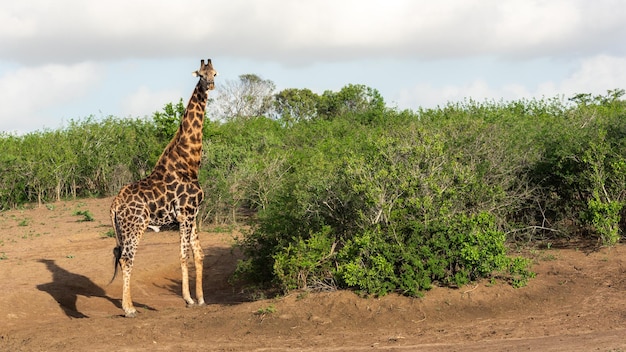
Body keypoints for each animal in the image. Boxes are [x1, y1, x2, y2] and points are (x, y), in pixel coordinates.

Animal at [106, 57, 216, 316]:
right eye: (200, 74)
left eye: (215, 73)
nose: (210, 85)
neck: (189, 162)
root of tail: (114, 205)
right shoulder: (185, 214)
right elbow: (184, 256)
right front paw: (188, 299)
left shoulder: (193, 215)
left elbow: (199, 254)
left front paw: (201, 298)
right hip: (135, 227)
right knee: (126, 258)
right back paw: (129, 308)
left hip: (123, 230)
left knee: (120, 256)